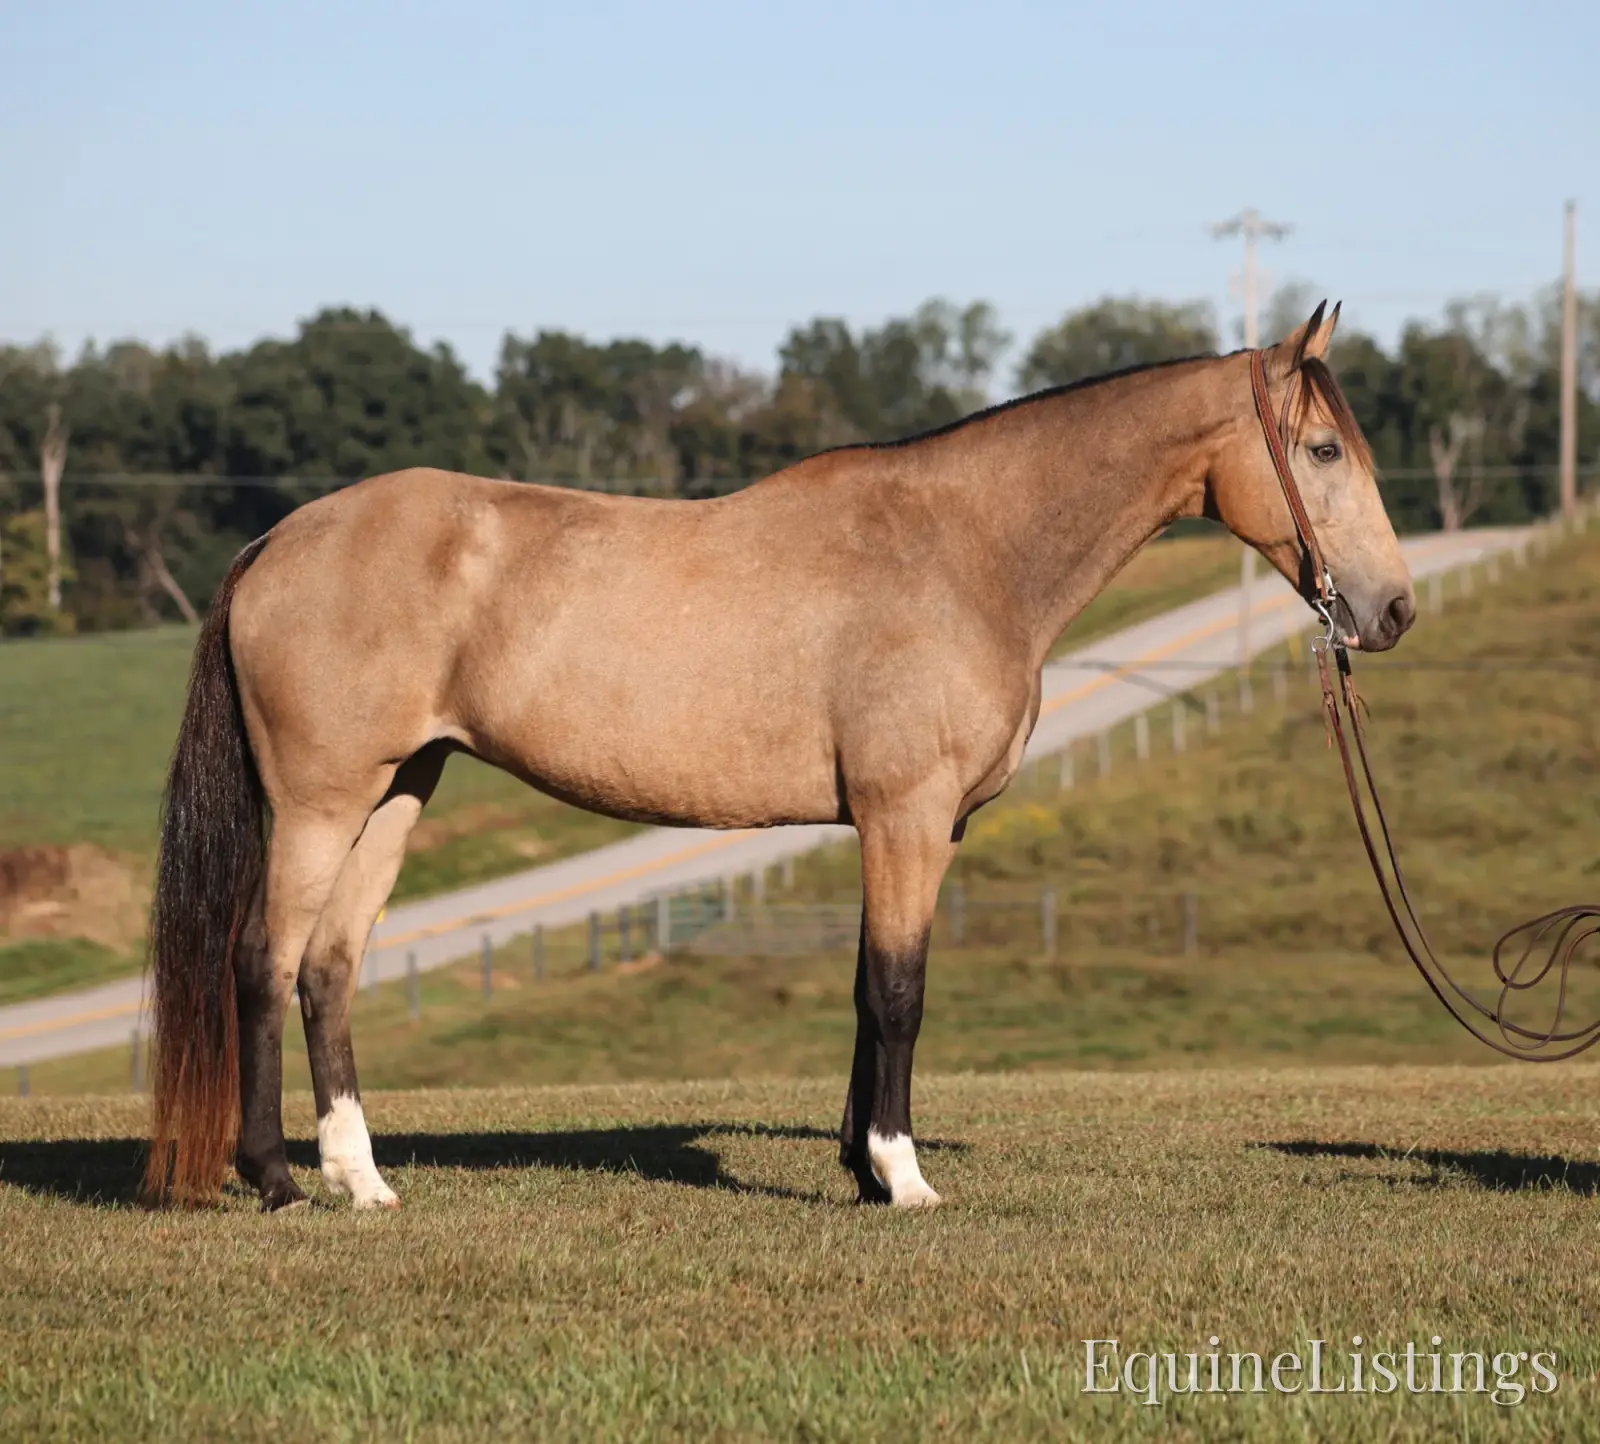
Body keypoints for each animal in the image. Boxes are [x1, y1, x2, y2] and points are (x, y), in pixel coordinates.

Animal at [142, 301, 1415, 1212]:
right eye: (1320, 448)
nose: (1392, 608)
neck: (962, 550)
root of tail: (278, 537)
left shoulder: (901, 826)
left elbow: (864, 987)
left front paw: (859, 1164)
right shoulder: (906, 815)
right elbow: (899, 990)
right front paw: (901, 1174)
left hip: (397, 790)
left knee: (329, 969)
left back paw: (361, 1179)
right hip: (320, 799)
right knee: (263, 958)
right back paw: (273, 1179)